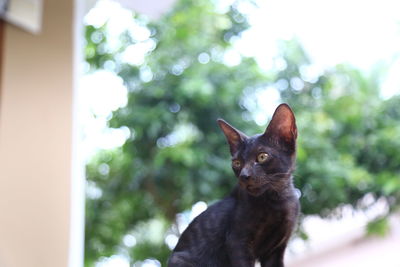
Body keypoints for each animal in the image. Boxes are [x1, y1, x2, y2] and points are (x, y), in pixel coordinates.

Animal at [169, 103, 300, 266]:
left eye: (262, 156)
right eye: (237, 163)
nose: (244, 175)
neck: (276, 200)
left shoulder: (275, 250)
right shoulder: (237, 242)